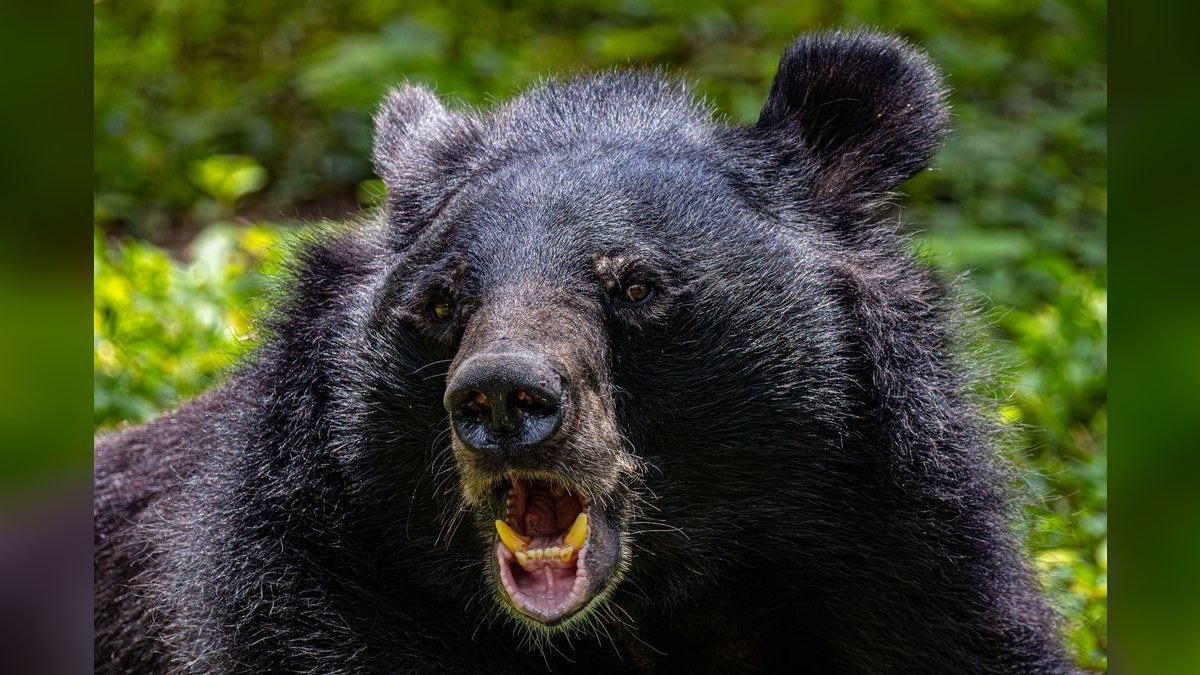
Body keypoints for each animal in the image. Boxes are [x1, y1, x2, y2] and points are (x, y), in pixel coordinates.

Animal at [94, 30, 1077, 673]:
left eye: (635, 286)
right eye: (441, 303)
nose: (500, 398)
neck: (651, 609)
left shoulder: (907, 566)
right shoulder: (304, 586)